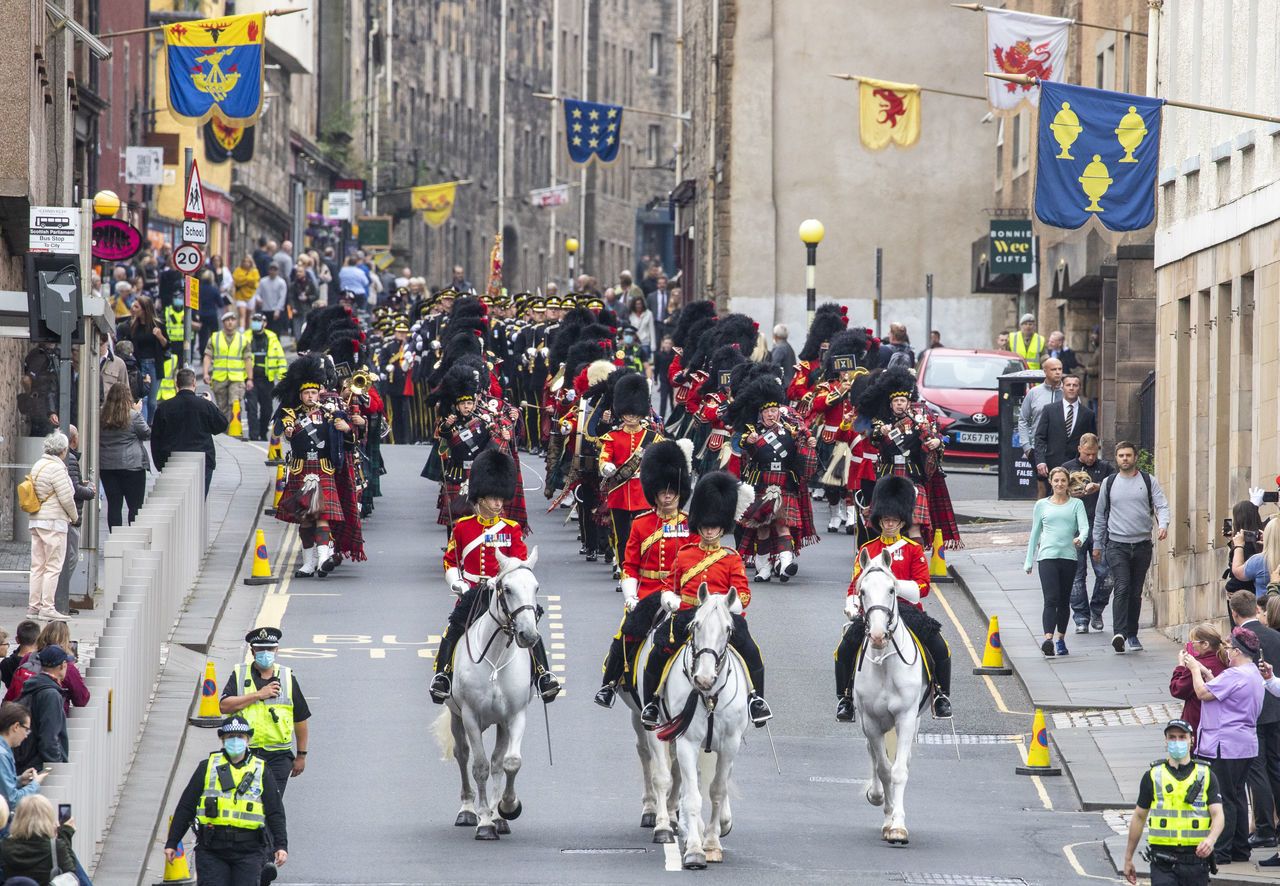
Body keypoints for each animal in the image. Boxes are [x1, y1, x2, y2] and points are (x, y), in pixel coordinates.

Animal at [440, 550, 540, 839]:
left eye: (536, 588)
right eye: (507, 589)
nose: (529, 635)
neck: (495, 656)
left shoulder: (515, 716)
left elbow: (509, 762)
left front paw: (507, 808)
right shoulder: (471, 716)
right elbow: (480, 767)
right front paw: (484, 821)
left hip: (500, 723)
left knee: (497, 762)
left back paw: (498, 816)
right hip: (456, 716)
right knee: (463, 755)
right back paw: (467, 810)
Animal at [650, 583, 747, 870]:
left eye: (728, 629)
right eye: (695, 625)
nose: (703, 678)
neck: (710, 695)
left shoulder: (729, 745)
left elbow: (717, 790)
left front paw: (712, 843)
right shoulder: (687, 742)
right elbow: (693, 795)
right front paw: (694, 849)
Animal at [849, 547, 931, 845]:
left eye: (892, 590)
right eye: (862, 591)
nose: (877, 635)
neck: (884, 662)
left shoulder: (906, 718)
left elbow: (897, 771)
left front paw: (898, 826)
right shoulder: (871, 721)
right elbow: (883, 769)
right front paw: (885, 809)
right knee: (874, 756)